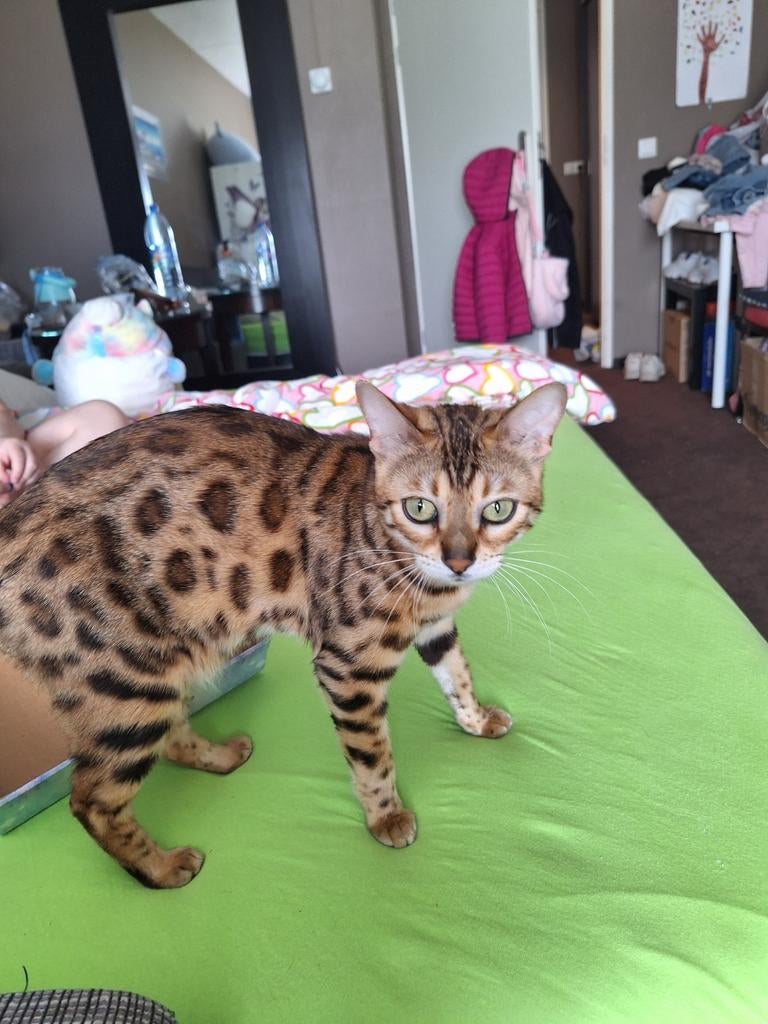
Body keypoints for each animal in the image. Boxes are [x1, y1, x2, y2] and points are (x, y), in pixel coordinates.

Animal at [0, 381, 566, 888]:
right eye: (420, 508)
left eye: (498, 509)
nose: (459, 562)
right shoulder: (348, 666)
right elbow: (372, 757)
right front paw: (385, 818)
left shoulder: (436, 626)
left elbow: (457, 675)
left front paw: (477, 720)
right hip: (125, 683)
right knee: (91, 798)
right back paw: (160, 869)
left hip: (158, 668)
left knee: (168, 739)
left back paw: (221, 757)